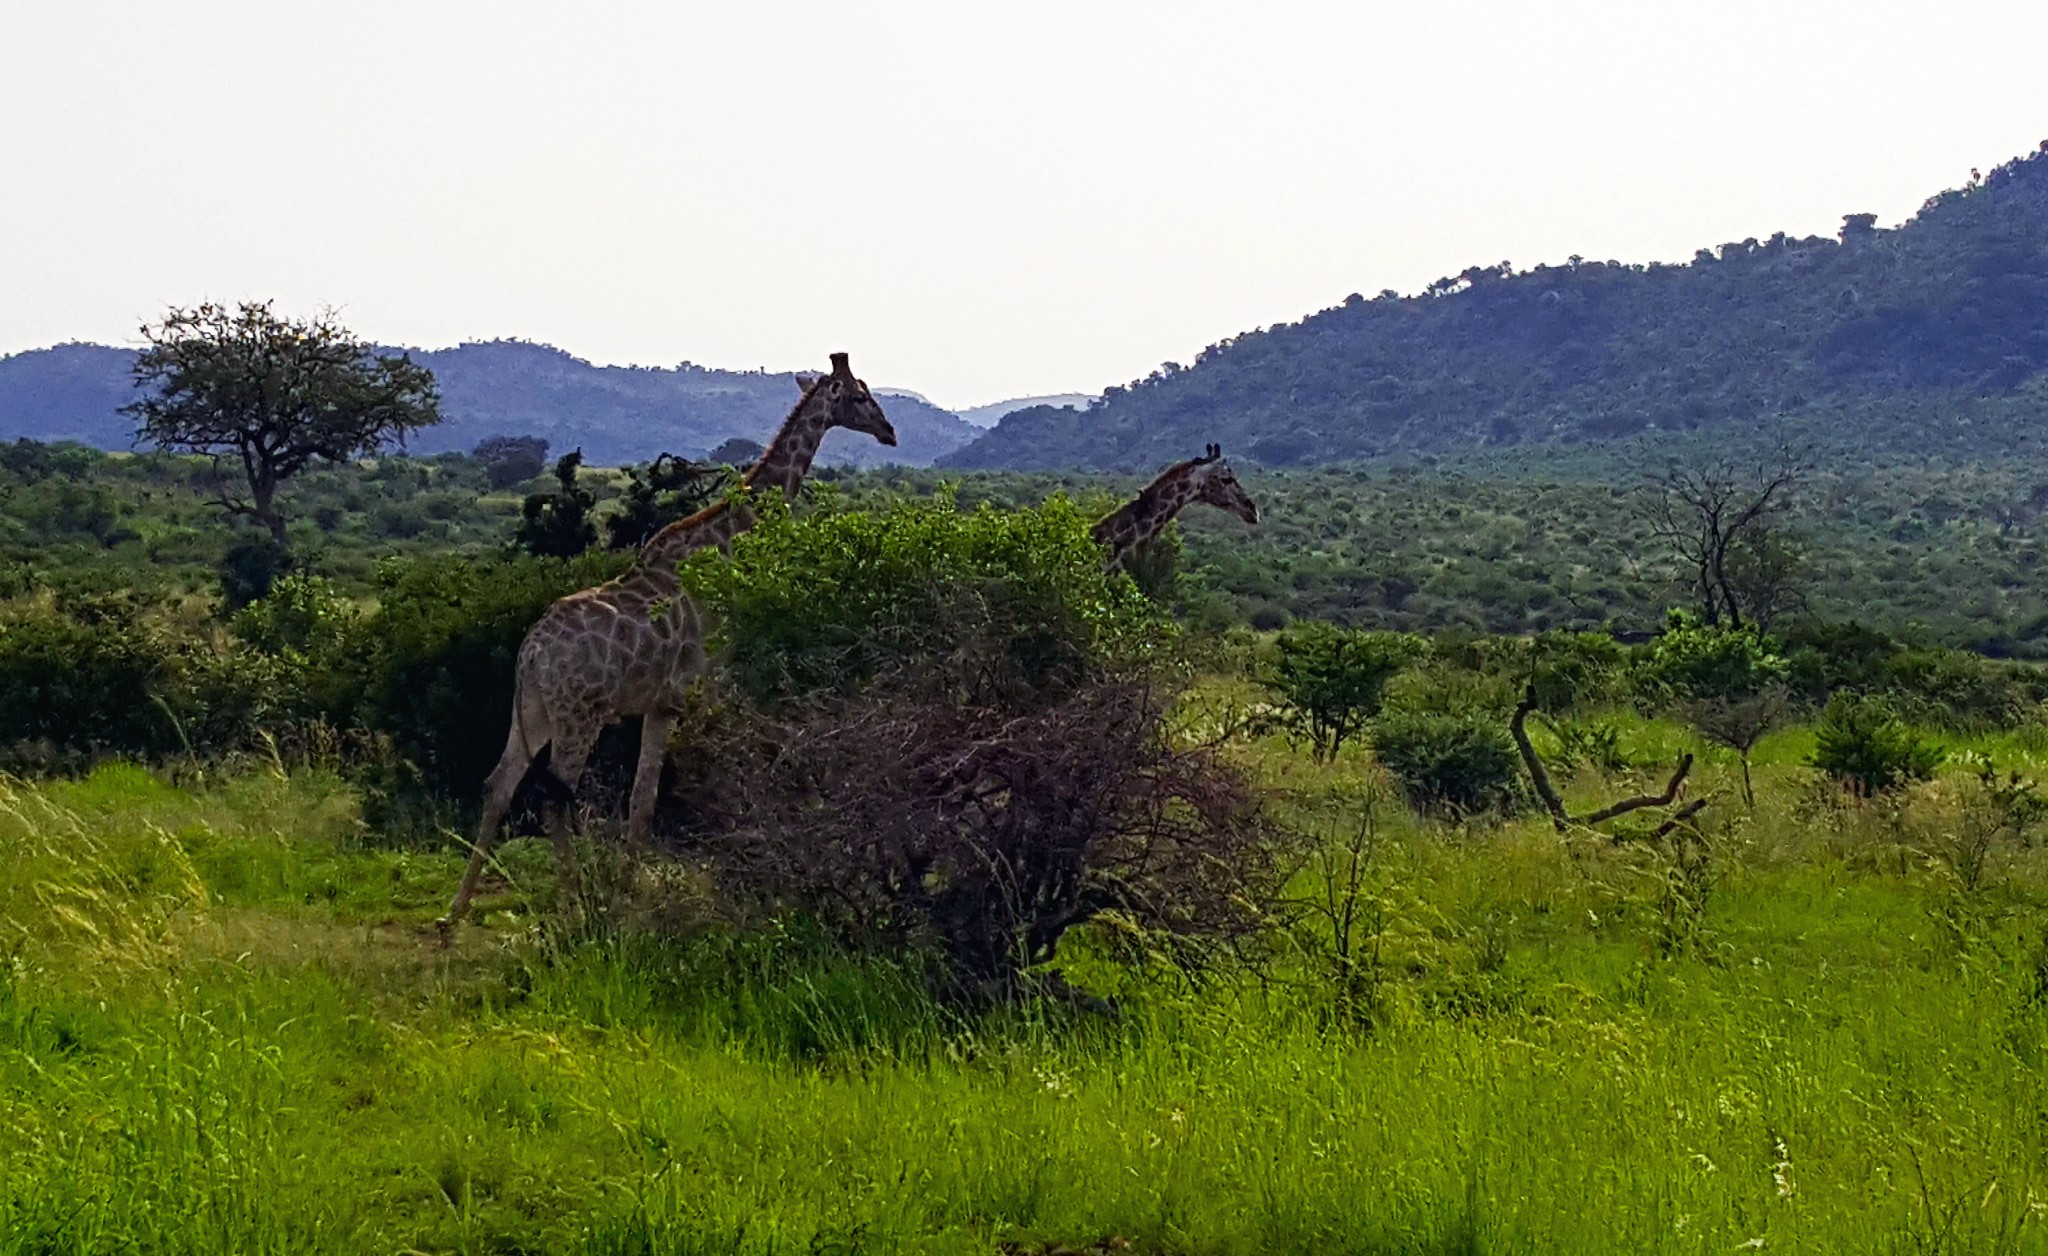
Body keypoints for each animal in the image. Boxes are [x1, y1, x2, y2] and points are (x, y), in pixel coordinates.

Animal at [440, 352, 897, 930]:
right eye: (859, 396)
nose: (890, 432)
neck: (727, 541)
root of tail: (531, 654)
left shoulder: (662, 704)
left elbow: (642, 801)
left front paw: (632, 891)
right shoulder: (710, 686)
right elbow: (720, 778)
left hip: (533, 711)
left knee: (500, 784)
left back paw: (455, 911)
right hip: (578, 715)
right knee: (552, 798)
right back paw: (575, 901)